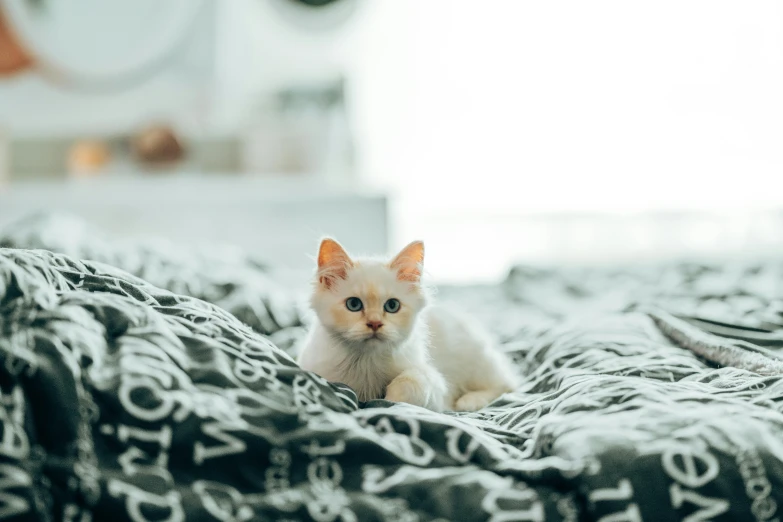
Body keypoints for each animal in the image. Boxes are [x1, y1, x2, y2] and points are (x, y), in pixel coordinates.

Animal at [298, 237, 516, 410]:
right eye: (353, 304)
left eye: (392, 306)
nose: (375, 324)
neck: (366, 363)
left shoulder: (436, 386)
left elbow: (409, 383)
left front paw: (389, 399)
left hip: (477, 363)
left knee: (506, 384)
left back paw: (469, 401)